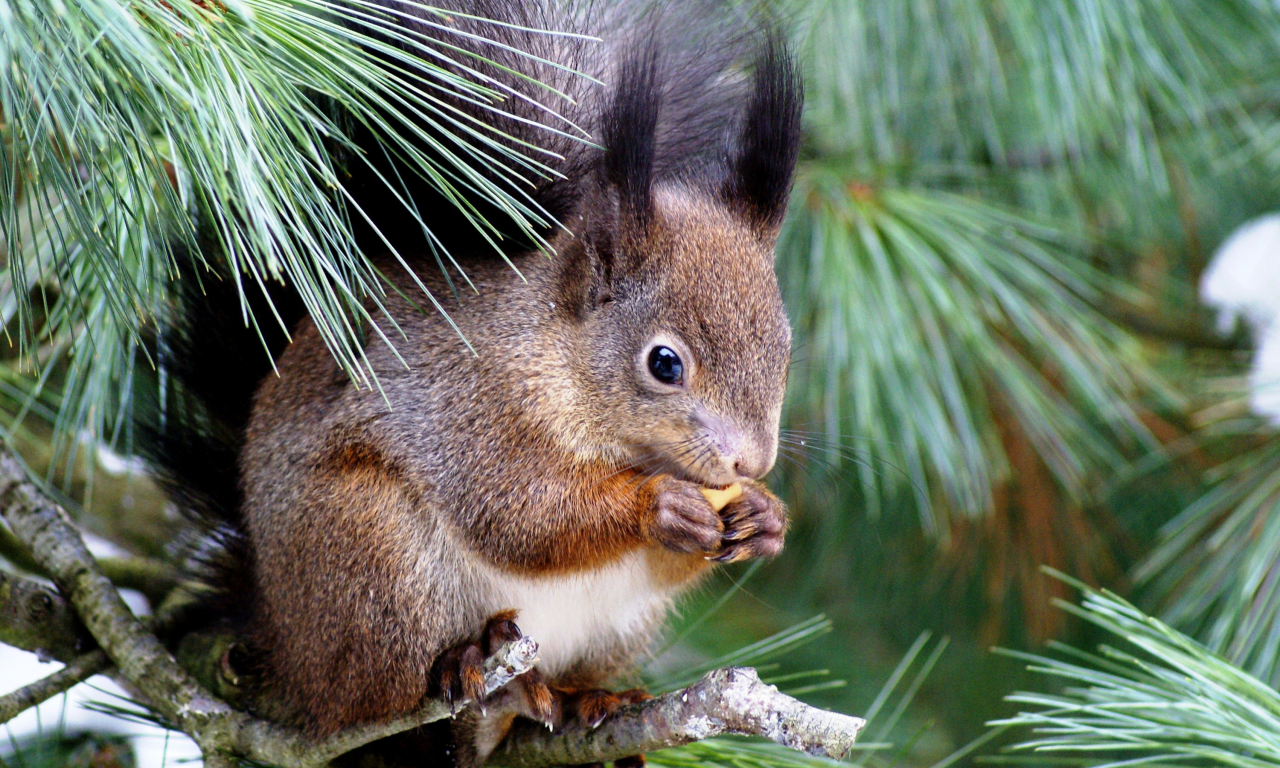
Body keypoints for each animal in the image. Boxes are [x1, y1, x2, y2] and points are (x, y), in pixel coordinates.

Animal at [140, 3, 798, 762]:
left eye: (785, 350)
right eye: (664, 364)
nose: (753, 462)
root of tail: (278, 636)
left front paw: (765, 518)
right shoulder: (471, 407)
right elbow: (518, 514)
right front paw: (657, 504)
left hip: (617, 626)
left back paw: (589, 700)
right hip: (370, 555)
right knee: (379, 695)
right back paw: (472, 674)